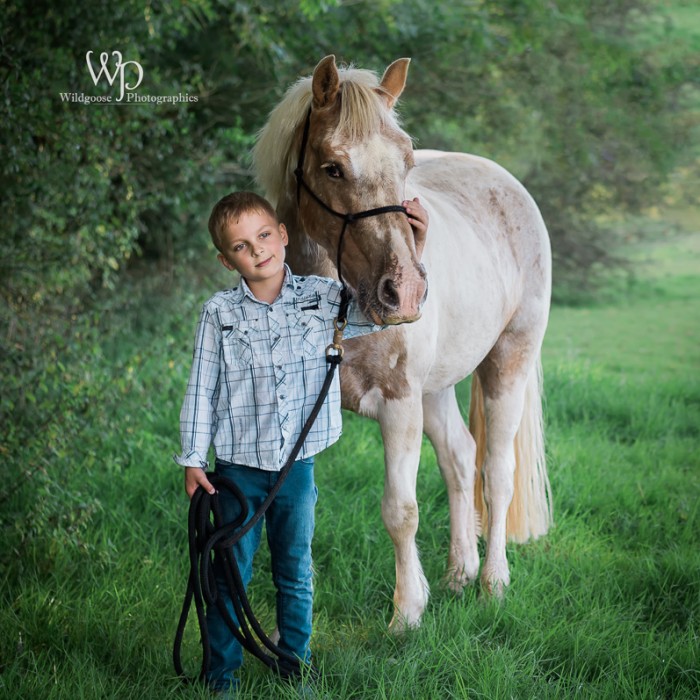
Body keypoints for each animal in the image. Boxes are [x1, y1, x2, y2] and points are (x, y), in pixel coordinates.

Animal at [252, 57, 552, 632]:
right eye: (332, 167)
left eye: (407, 159)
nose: (406, 292)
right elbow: (290, 514)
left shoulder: (398, 406)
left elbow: (401, 511)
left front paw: (407, 614)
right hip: (435, 389)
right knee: (460, 458)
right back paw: (460, 575)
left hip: (508, 360)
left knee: (496, 475)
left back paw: (492, 583)